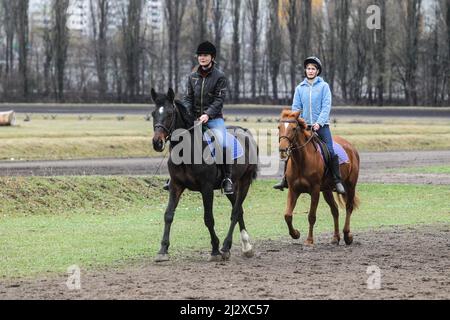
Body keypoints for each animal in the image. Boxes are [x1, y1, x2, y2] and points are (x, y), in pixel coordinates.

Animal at [151, 88, 258, 262]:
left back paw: (226, 247)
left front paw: (215, 249)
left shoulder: (206, 188)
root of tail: (246, 133)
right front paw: (163, 250)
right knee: (239, 210)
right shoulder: (176, 185)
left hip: (245, 182)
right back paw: (245, 247)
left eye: (169, 114)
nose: (156, 142)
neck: (186, 151)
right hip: (232, 186)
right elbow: (168, 215)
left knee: (235, 212)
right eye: (153, 113)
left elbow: (208, 218)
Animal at [276, 109, 360, 245]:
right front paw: (296, 234)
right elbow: (287, 215)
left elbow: (311, 216)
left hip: (350, 185)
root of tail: (350, 147)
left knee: (349, 207)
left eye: (293, 128)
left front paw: (309, 240)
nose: (282, 149)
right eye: (279, 127)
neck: (301, 161)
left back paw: (347, 235)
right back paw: (335, 238)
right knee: (335, 210)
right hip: (327, 190)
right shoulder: (293, 190)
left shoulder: (315, 191)